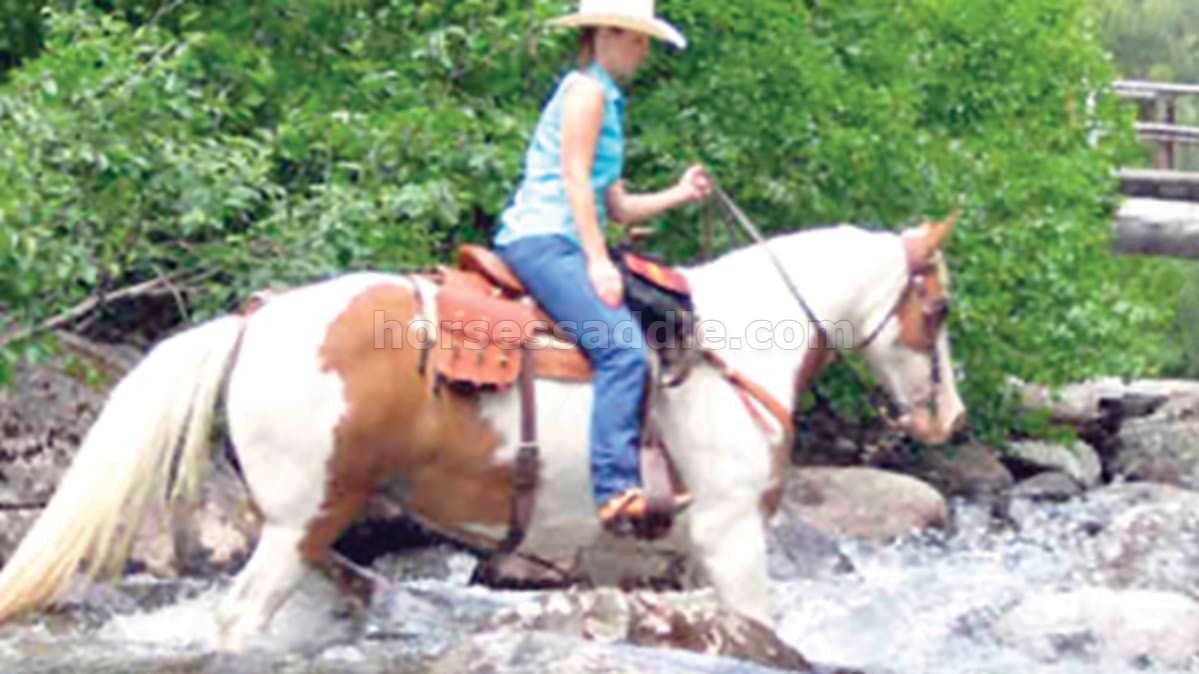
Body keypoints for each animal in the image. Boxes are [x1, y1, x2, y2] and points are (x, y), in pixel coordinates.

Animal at [0, 215, 965, 651]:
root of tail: (255, 317)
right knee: (238, 621)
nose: (948, 419)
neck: (729, 344)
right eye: (941, 308)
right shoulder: (730, 532)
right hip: (301, 519)